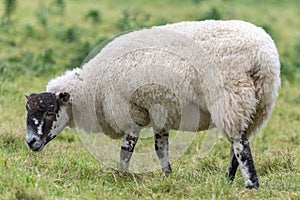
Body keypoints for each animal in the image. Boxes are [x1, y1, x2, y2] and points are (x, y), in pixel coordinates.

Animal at [25, 19, 282, 188]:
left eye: (51, 109)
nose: (30, 142)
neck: (92, 87)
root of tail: (262, 56)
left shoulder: (130, 112)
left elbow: (126, 150)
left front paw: (121, 176)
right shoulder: (160, 112)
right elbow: (161, 150)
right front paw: (167, 176)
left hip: (230, 96)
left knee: (241, 145)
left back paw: (251, 184)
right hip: (259, 103)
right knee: (237, 144)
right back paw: (228, 180)